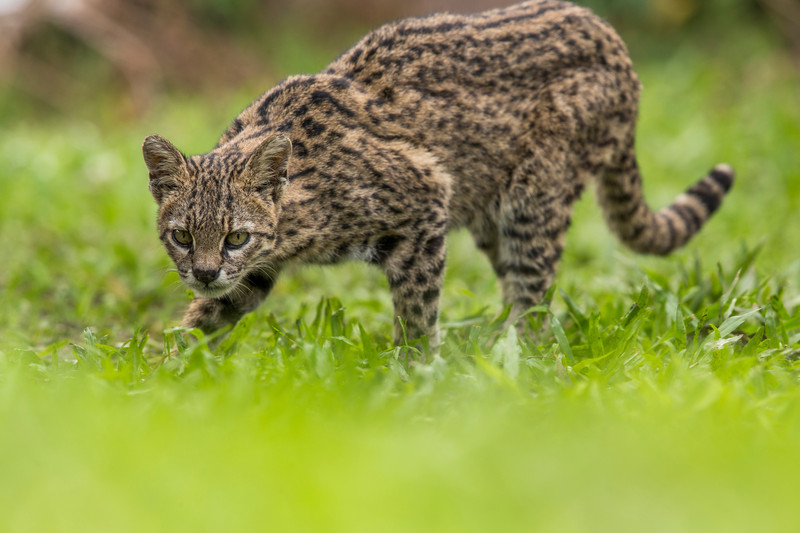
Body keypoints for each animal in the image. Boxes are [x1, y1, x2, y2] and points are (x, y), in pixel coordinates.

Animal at [142, 0, 732, 350]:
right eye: (182, 236)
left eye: (236, 237)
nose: (204, 271)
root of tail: (612, 39)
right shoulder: (252, 276)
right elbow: (205, 318)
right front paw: (160, 370)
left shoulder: (425, 203)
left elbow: (418, 313)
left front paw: (414, 379)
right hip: (493, 210)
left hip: (534, 198)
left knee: (535, 299)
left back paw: (521, 359)